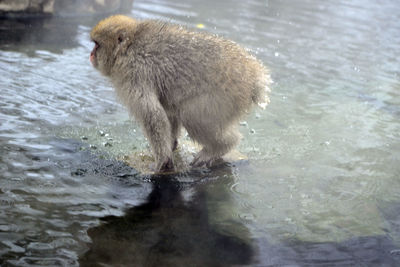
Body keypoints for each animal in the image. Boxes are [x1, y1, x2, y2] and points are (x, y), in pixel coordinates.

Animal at [90, 15, 272, 174]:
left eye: (97, 45)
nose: (91, 54)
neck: (127, 50)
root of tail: (256, 77)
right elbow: (166, 112)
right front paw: (171, 145)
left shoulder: (133, 74)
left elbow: (153, 115)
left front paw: (163, 163)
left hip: (226, 96)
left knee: (191, 116)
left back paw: (219, 148)